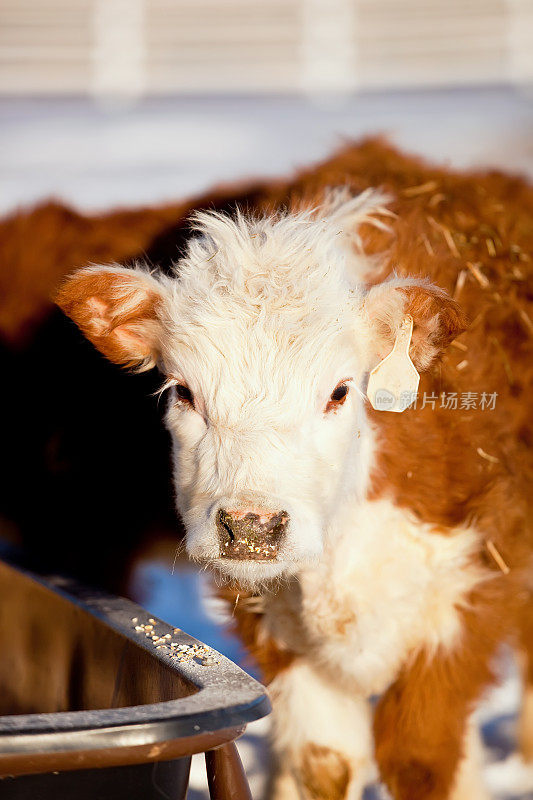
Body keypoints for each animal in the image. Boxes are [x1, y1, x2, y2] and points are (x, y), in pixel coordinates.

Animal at [55, 175, 532, 800]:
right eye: (182, 391)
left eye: (340, 391)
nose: (252, 527)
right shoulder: (274, 627)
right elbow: (324, 762)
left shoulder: (465, 607)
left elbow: (424, 761)